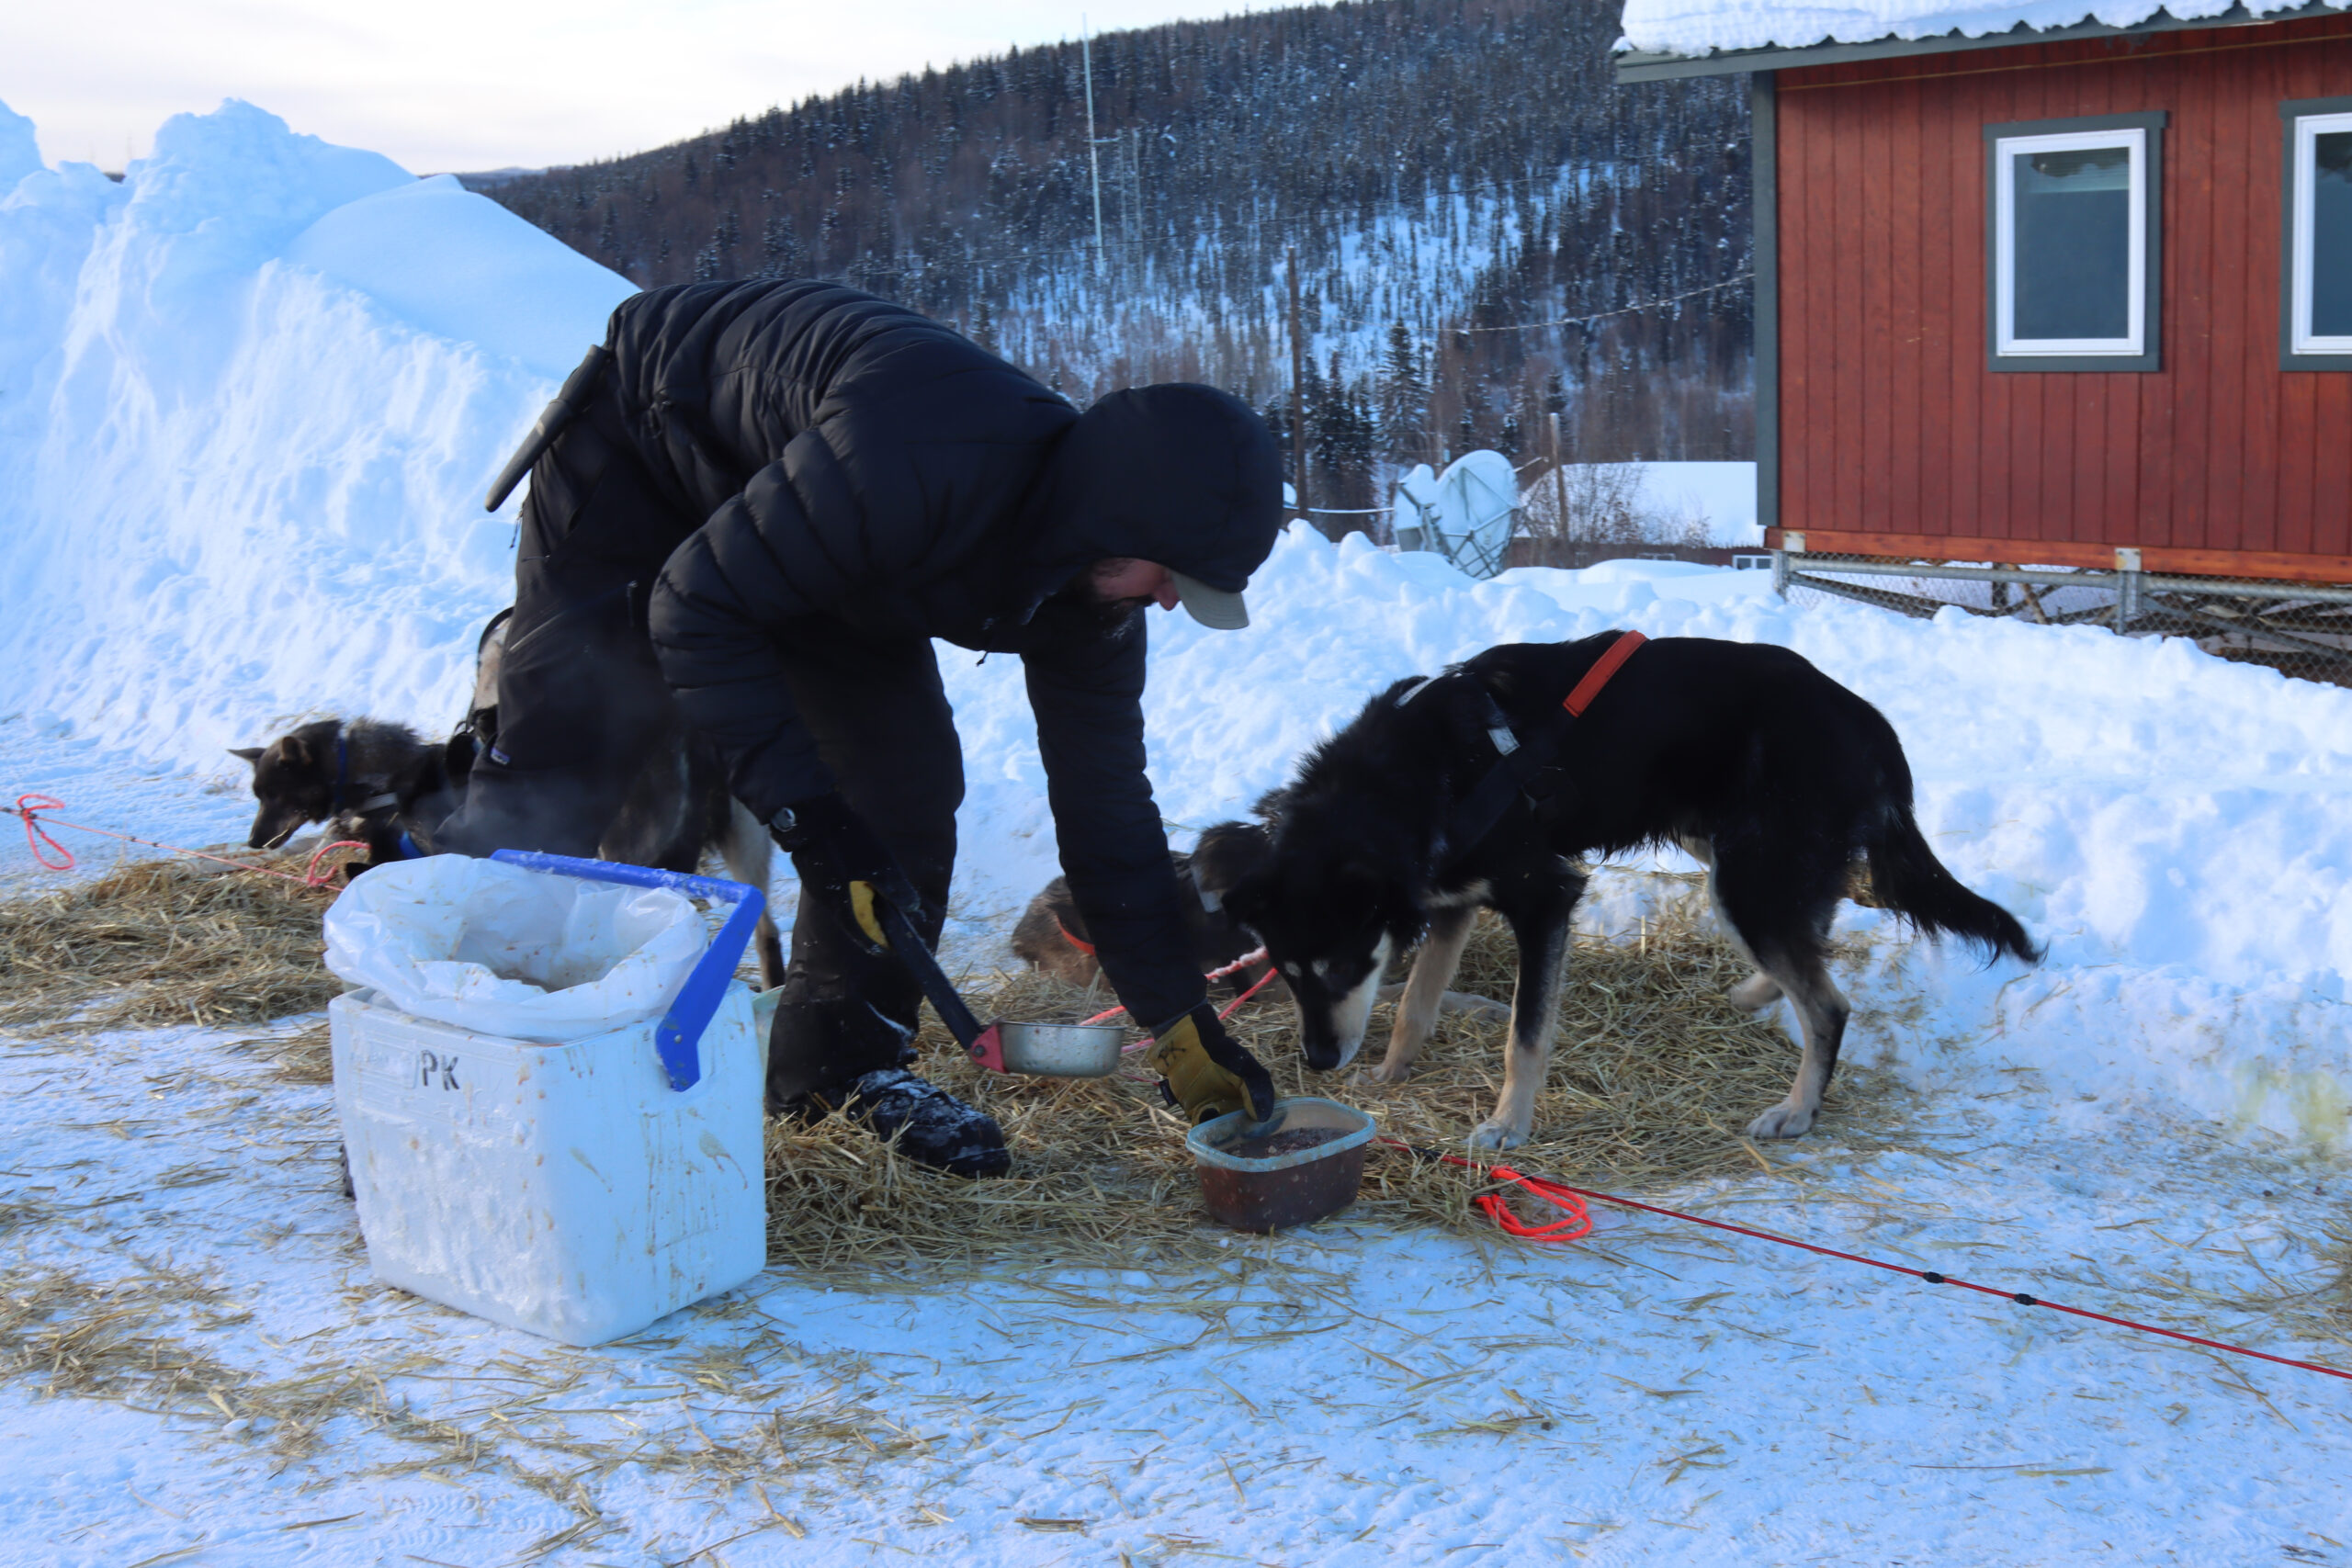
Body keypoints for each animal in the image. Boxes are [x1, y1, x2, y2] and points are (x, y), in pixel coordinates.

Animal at [1213, 629, 2041, 1152]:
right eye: (1284, 973)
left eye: (1341, 967)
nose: (1320, 1060)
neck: (1419, 774)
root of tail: (1868, 720)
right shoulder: (1454, 901)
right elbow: (1417, 1000)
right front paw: (1391, 1073)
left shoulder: (1544, 896)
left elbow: (1524, 1034)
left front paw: (1509, 1125)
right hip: (1736, 856)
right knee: (1814, 936)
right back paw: (1755, 992)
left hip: (1746, 870)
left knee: (1827, 1002)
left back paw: (1798, 1108)